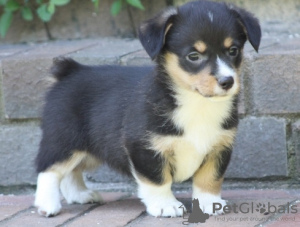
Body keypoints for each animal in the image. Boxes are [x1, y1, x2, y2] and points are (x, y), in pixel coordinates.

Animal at [34, 0, 260, 218]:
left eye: (233, 51)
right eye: (193, 56)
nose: (227, 81)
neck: (196, 103)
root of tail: (69, 71)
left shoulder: (219, 148)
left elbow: (209, 179)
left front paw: (209, 204)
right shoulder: (145, 148)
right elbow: (158, 180)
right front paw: (166, 206)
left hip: (89, 151)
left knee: (71, 172)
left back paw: (81, 195)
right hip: (65, 142)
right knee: (49, 170)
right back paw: (47, 205)